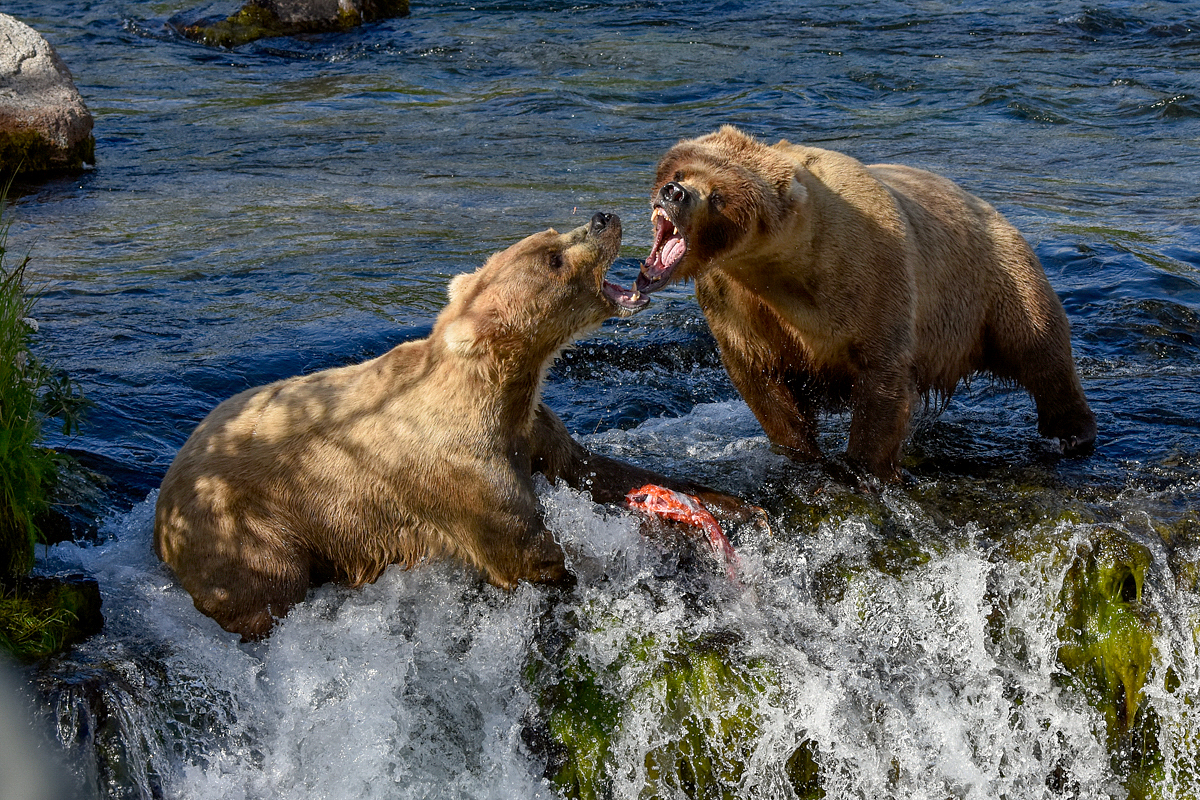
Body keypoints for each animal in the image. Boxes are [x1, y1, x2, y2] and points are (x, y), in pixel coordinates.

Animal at [154, 212, 744, 638]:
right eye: (553, 258)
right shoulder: (462, 475)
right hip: (246, 527)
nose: (602, 218)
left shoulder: (530, 430)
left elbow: (591, 471)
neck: (499, 391)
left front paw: (728, 506)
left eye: (553, 232)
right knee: (269, 588)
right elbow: (529, 551)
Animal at [638, 125, 1099, 482]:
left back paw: (1072, 432)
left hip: (994, 279)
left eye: (718, 196)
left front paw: (861, 465)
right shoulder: (737, 305)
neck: (779, 271)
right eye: (680, 169)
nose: (674, 192)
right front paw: (801, 452)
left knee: (1039, 344)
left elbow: (882, 378)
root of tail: (987, 206)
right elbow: (761, 379)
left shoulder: (867, 279)